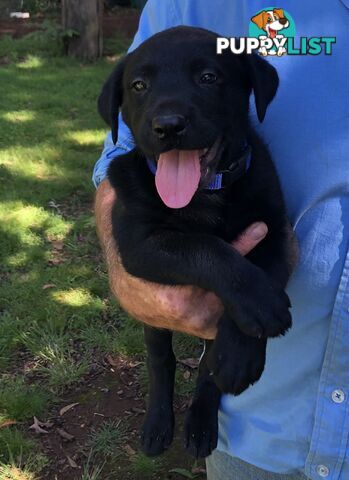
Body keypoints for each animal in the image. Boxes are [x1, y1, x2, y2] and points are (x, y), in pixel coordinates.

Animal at [98, 26, 296, 458]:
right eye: (138, 86)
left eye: (208, 77)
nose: (168, 126)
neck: (205, 195)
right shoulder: (140, 244)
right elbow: (207, 249)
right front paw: (260, 304)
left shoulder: (276, 233)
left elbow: (263, 270)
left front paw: (239, 353)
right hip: (152, 318)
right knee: (160, 360)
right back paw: (158, 424)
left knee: (207, 368)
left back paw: (203, 420)